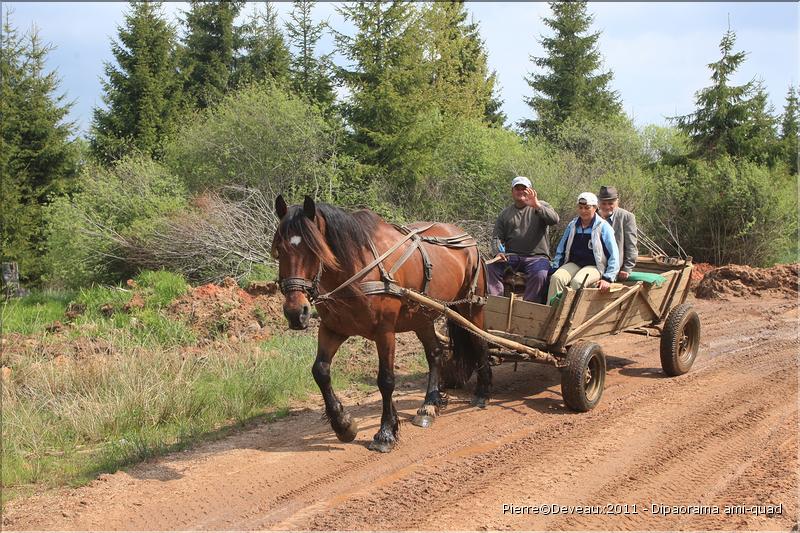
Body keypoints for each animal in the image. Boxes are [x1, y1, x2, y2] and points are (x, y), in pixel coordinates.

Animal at [272, 195, 490, 454]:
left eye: (315, 251)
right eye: (279, 250)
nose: (296, 313)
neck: (357, 270)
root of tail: (467, 238)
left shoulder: (384, 332)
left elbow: (386, 380)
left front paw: (385, 433)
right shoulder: (333, 329)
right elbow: (320, 371)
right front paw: (343, 424)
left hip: (472, 307)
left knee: (480, 343)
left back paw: (483, 393)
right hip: (422, 316)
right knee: (435, 354)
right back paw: (430, 404)